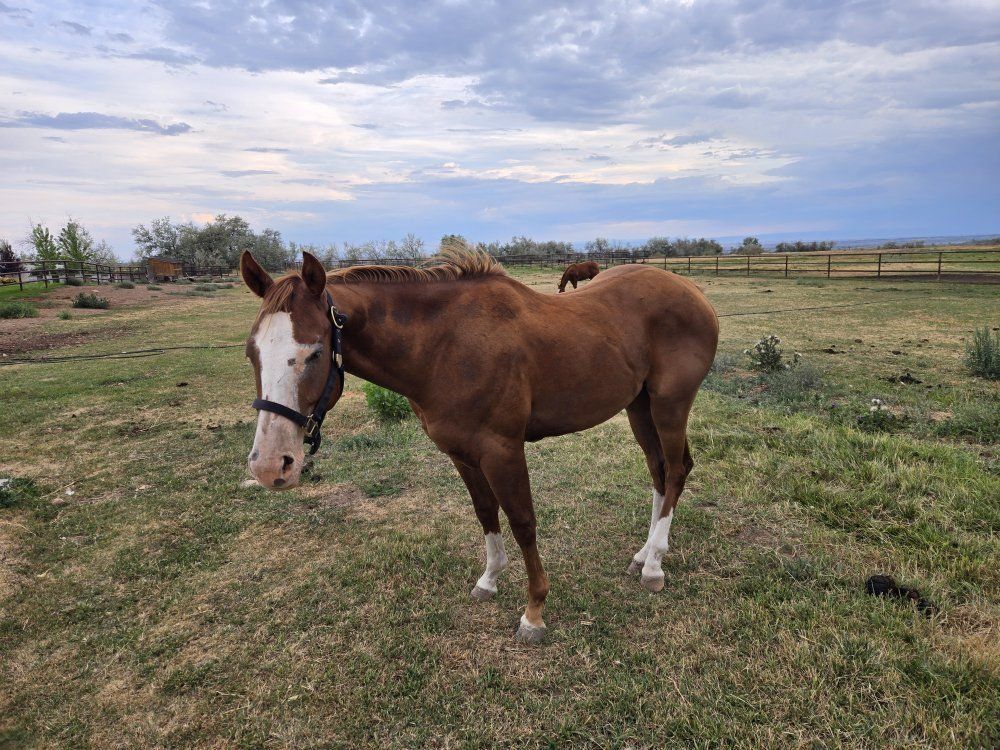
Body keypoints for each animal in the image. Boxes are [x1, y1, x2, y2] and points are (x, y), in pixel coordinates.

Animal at [241, 244, 718, 643]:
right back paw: (644, 553)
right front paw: (489, 579)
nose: (270, 465)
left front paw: (534, 612)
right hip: (639, 406)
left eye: (316, 352)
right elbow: (486, 512)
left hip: (670, 405)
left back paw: (654, 565)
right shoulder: (463, 454)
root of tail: (691, 291)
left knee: (676, 471)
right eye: (251, 352)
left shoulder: (503, 450)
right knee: (659, 472)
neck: (445, 346)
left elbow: (523, 521)